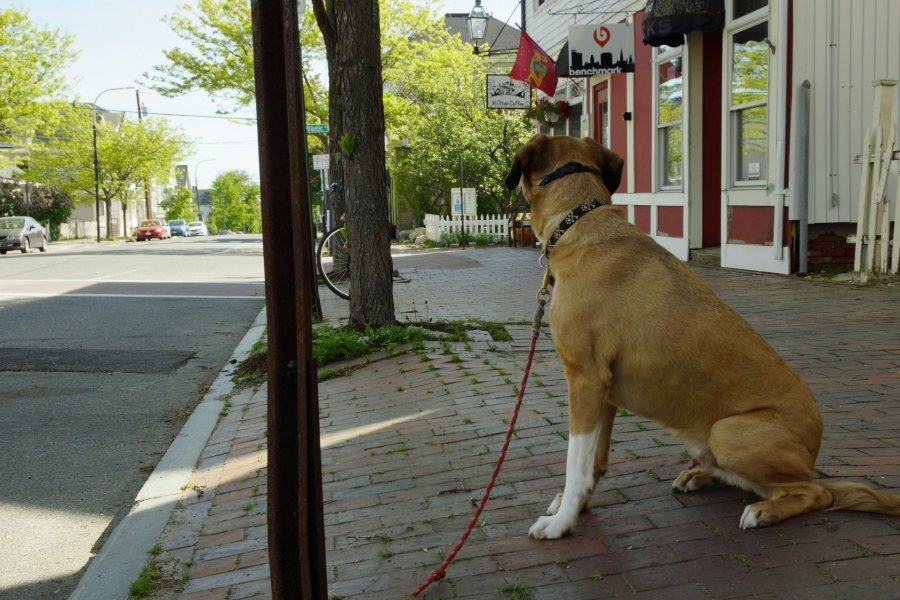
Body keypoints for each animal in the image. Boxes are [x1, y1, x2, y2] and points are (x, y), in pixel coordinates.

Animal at [506, 135, 900, 540]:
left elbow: (576, 463)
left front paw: (562, 521)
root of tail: (814, 451)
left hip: (728, 432)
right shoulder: (605, 393)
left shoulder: (585, 381)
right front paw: (578, 506)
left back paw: (763, 511)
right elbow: (594, 462)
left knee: (815, 493)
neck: (577, 220)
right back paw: (701, 476)